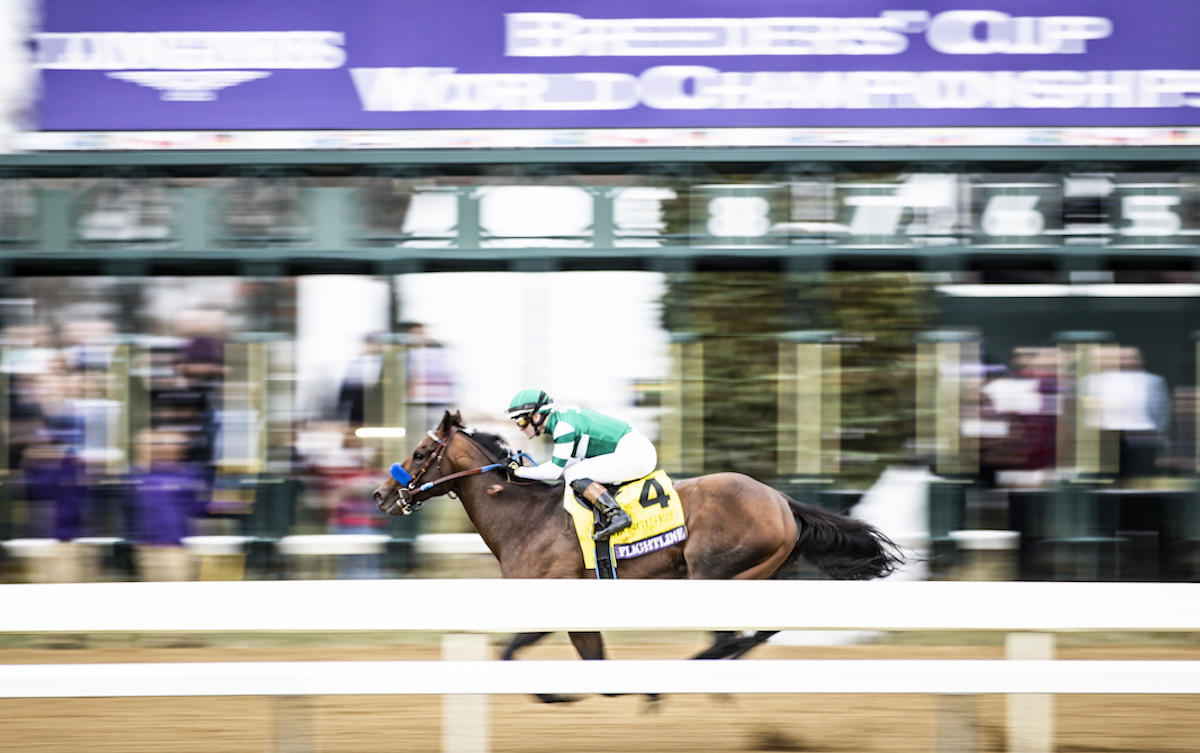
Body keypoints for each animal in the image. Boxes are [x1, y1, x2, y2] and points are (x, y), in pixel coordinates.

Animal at [369, 412, 902, 695]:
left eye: (421, 453)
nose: (380, 495)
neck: (524, 515)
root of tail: (780, 500)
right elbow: (594, 666)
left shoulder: (554, 599)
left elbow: (510, 652)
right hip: (759, 577)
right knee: (756, 634)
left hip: (713, 576)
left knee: (729, 639)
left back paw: (665, 683)